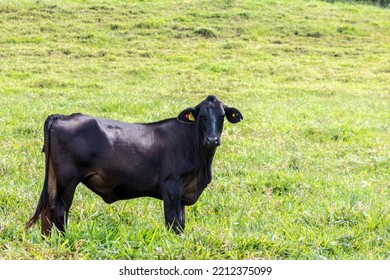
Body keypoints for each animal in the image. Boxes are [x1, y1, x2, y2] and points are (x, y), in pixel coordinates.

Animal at [25, 95, 242, 235]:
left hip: (54, 178)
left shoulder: (182, 194)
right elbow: (173, 223)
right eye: (202, 116)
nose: (212, 139)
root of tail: (65, 116)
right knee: (59, 211)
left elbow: (181, 224)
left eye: (221, 116)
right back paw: (64, 240)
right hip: (67, 181)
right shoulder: (171, 190)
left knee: (47, 210)